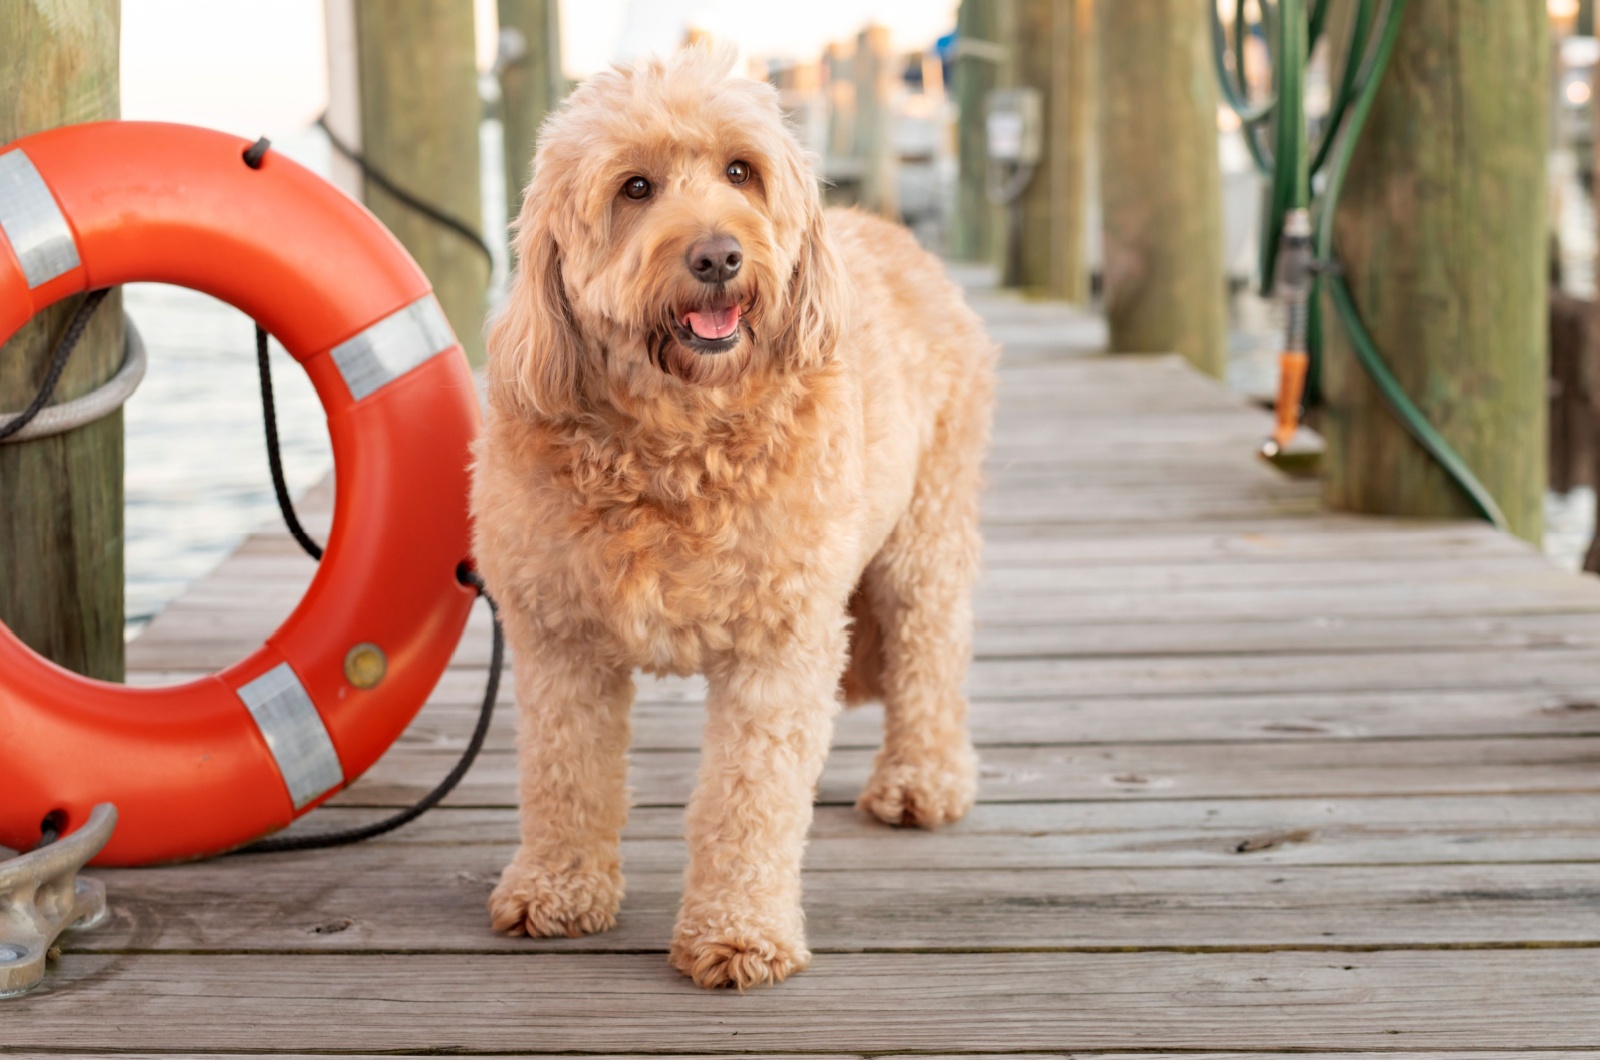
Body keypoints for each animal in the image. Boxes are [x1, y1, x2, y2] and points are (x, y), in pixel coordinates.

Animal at [473, 45, 992, 992]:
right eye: (635, 187)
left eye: (741, 172)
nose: (717, 255)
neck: (676, 439)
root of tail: (903, 237)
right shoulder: (559, 638)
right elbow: (566, 775)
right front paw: (557, 889)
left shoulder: (778, 645)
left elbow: (748, 801)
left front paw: (740, 931)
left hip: (925, 534)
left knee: (931, 653)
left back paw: (921, 781)